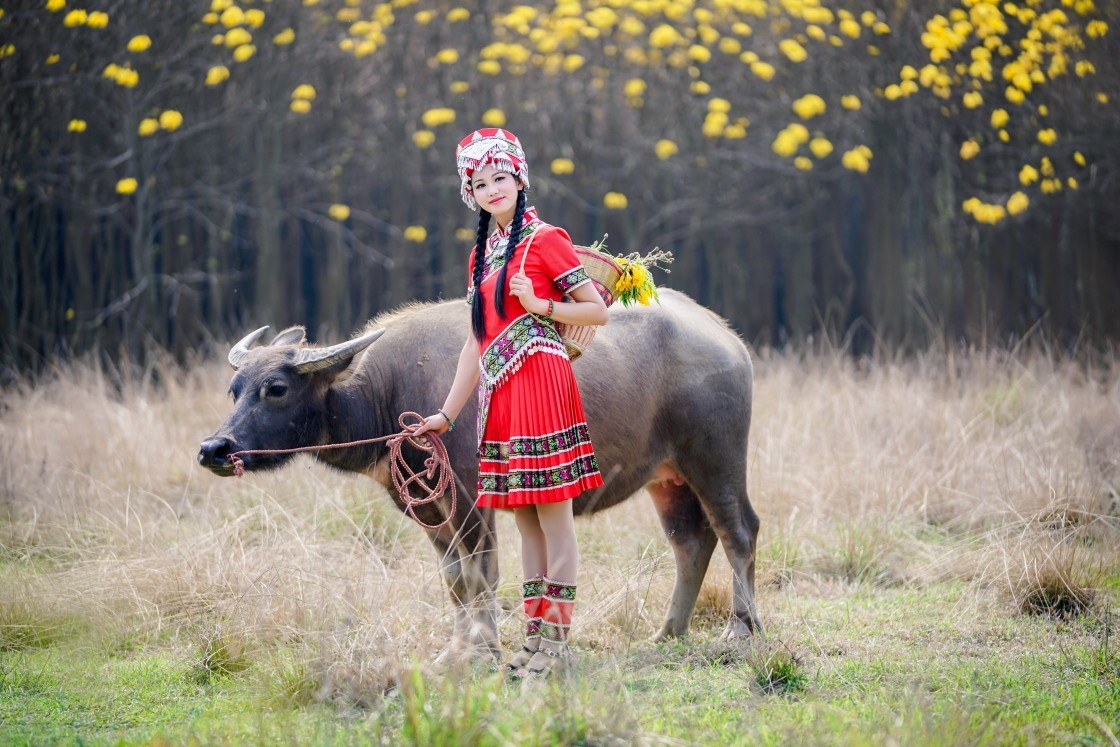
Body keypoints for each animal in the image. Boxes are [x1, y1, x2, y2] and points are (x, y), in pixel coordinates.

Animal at [201, 288, 761, 658]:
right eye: (235, 389)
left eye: (276, 388)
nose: (214, 448)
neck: (388, 388)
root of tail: (727, 339)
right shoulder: (428, 505)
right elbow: (454, 578)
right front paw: (457, 644)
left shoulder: (473, 499)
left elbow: (482, 573)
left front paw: (484, 644)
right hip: (668, 478)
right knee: (690, 541)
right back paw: (668, 631)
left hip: (716, 459)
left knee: (738, 531)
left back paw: (741, 629)